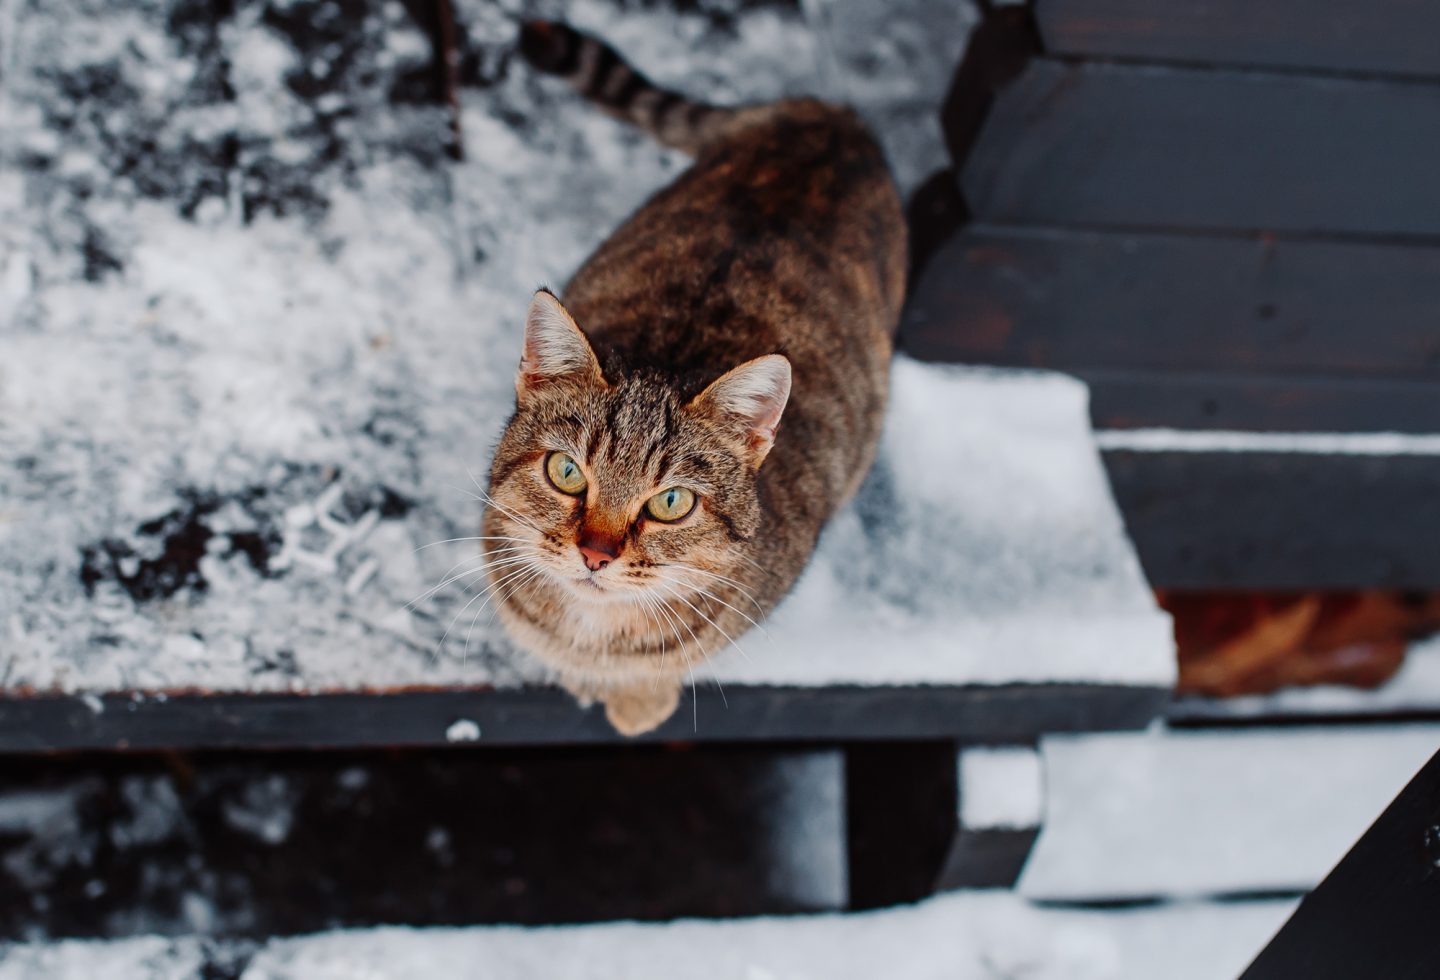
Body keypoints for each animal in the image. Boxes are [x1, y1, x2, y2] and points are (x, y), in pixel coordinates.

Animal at [489, 21, 904, 733]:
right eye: (565, 472)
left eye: (672, 503)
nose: (595, 555)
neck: (591, 629)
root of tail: (832, 119)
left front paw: (636, 700)